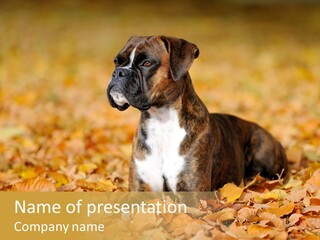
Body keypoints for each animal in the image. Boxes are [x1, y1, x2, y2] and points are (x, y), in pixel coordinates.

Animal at [106, 35, 288, 192]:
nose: (119, 72)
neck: (161, 119)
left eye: (147, 63)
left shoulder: (191, 193)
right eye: (116, 61)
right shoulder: (139, 188)